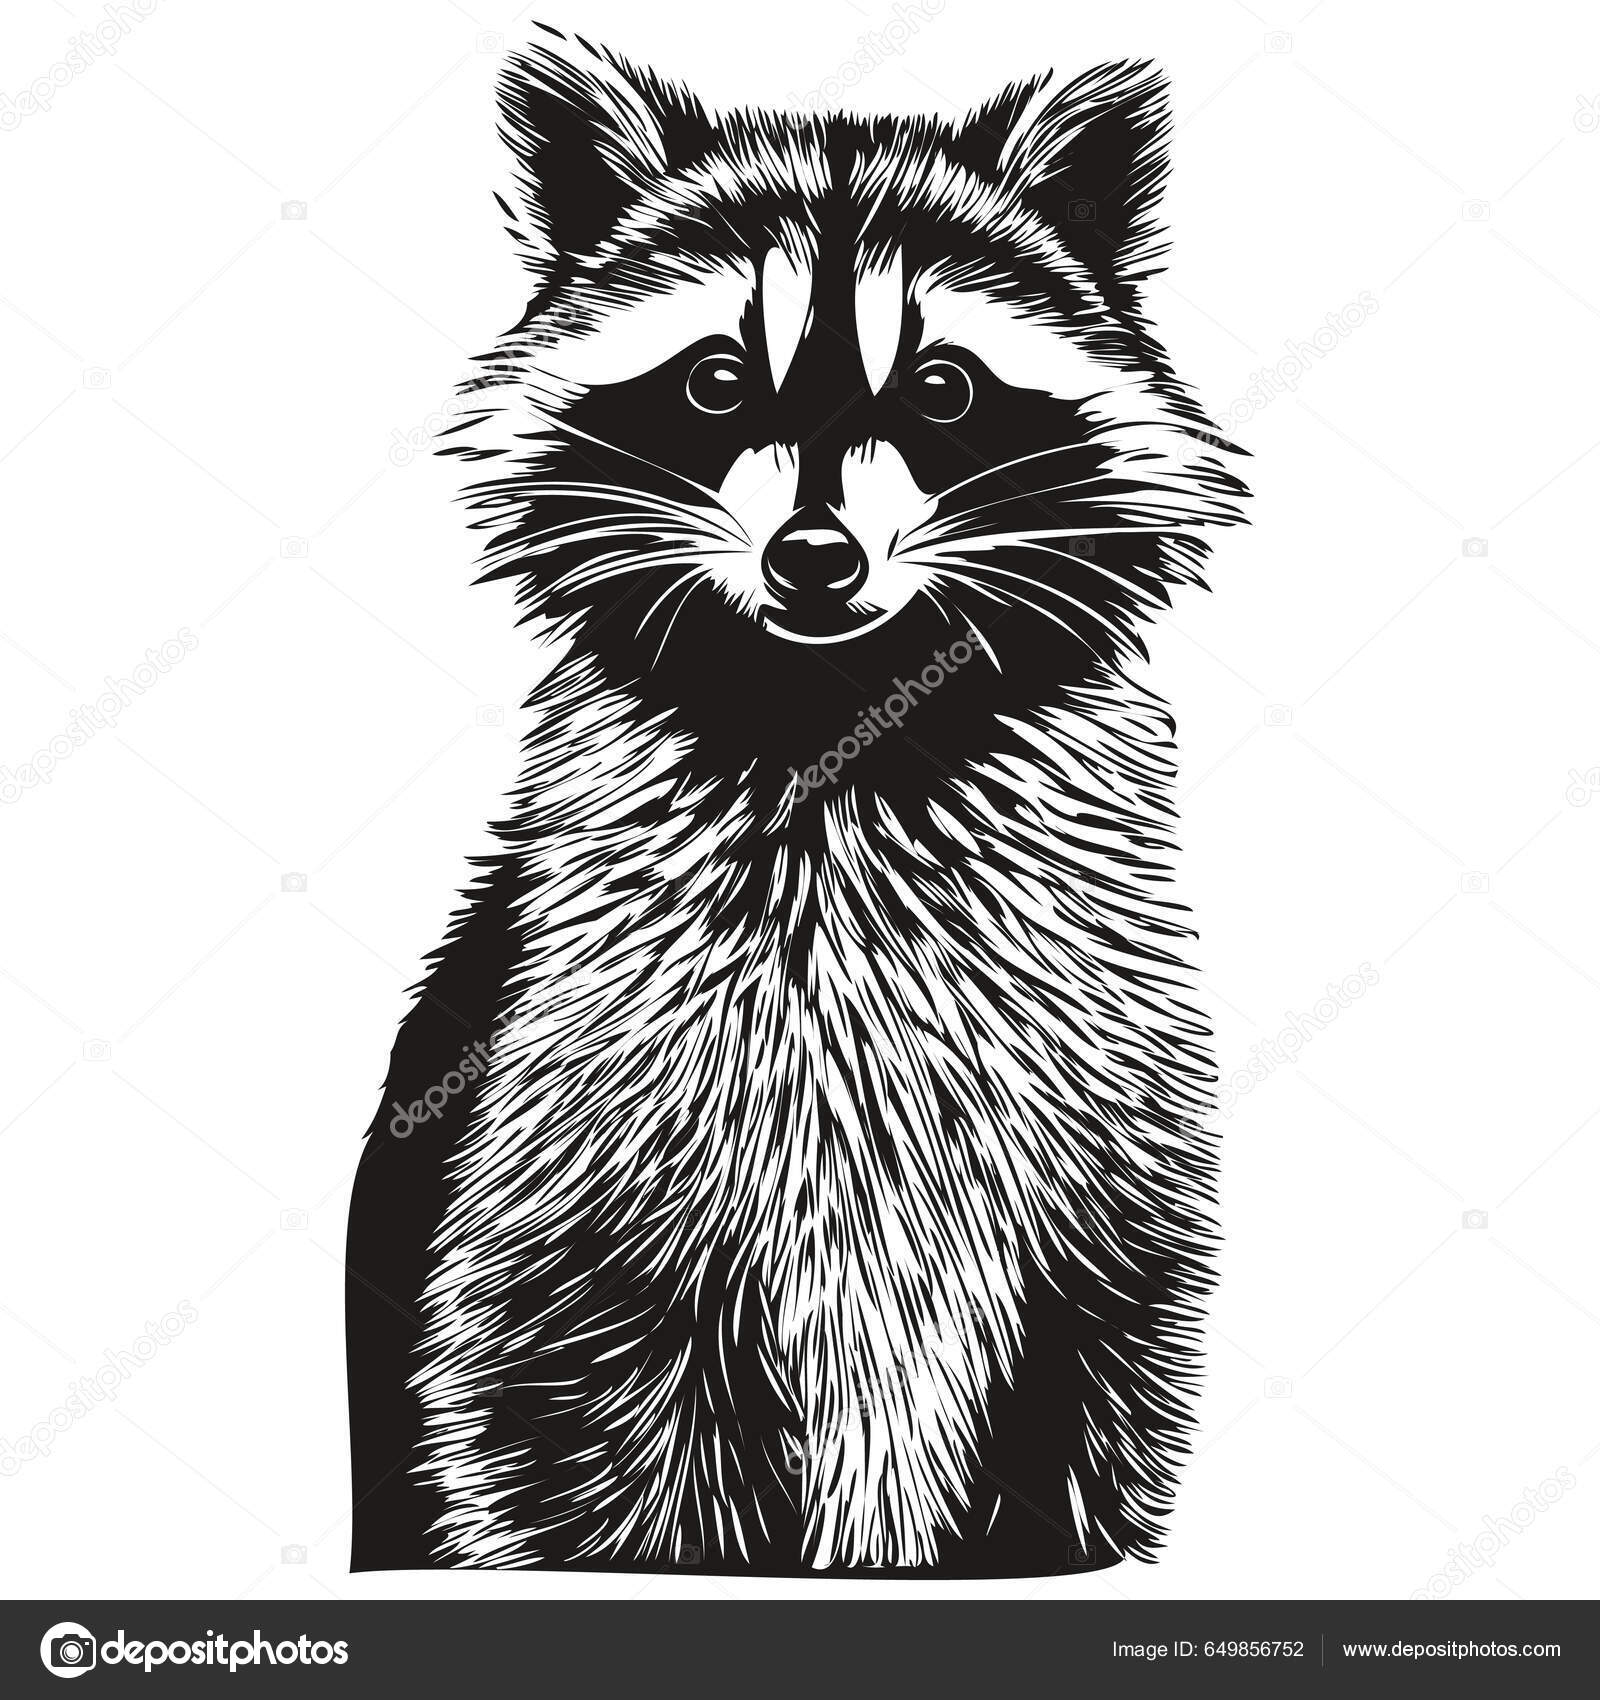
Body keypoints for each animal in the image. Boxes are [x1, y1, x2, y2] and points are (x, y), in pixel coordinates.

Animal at [345, 26, 1248, 1577]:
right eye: (716, 381)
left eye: (942, 390)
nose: (814, 556)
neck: (834, 721)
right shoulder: (567, 1132)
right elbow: (548, 1409)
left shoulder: (1103, 1126)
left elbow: (1099, 1390)